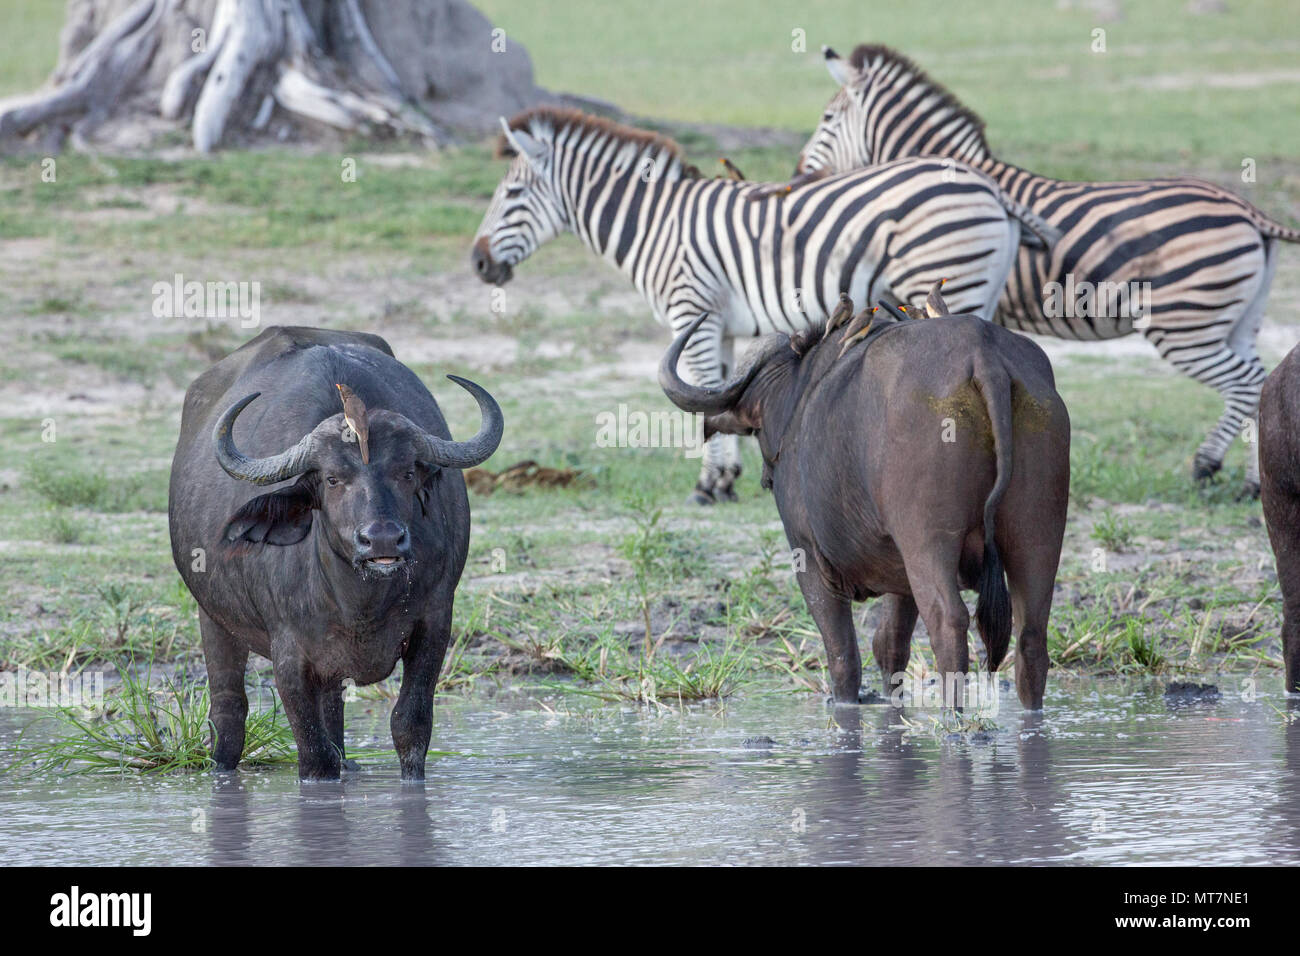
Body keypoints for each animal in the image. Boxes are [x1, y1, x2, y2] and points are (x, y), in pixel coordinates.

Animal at [471, 107, 1053, 503]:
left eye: (512, 196)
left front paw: (708, 484)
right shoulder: (722, 325)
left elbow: (700, 386)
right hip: (975, 287)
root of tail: (989, 186)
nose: (478, 264)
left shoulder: (692, 307)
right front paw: (727, 479)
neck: (657, 224)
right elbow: (715, 390)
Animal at [790, 43, 1300, 497]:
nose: (797, 178)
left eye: (827, 120)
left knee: (1245, 384)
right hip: (1238, 319)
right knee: (1256, 381)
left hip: (1185, 324)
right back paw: (1252, 481)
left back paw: (1209, 466)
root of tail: (1247, 209)